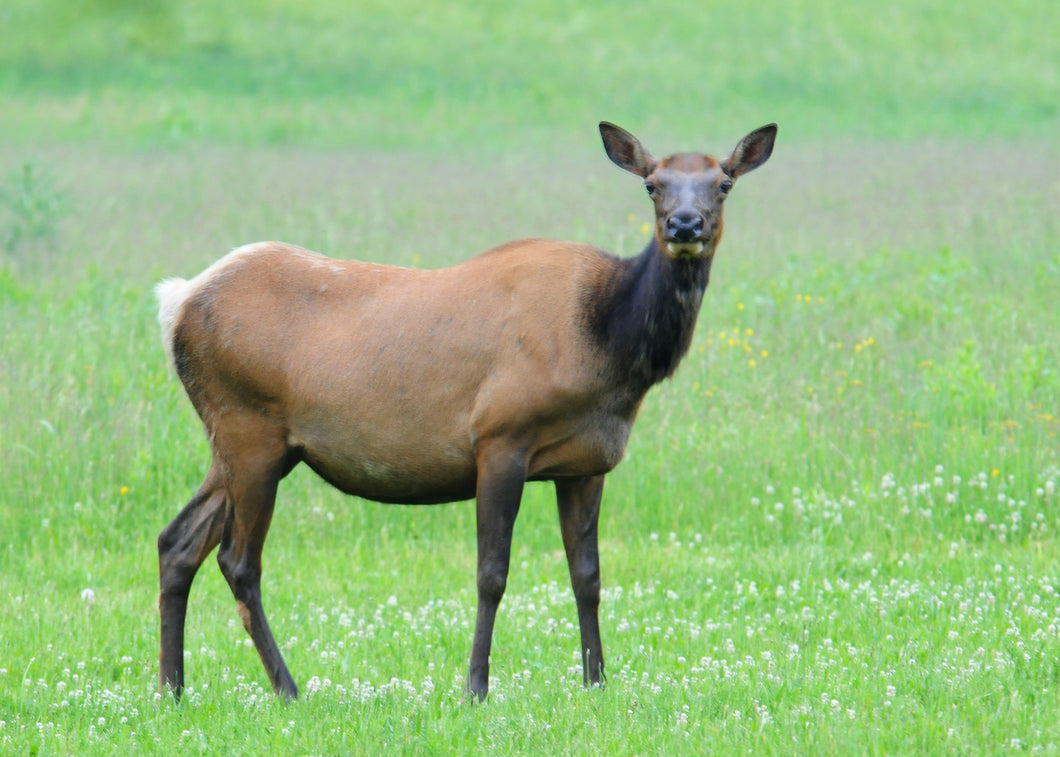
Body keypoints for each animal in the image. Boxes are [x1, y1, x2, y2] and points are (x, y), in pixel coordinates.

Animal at [153, 119, 775, 699]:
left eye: (723, 183)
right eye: (652, 184)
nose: (685, 225)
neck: (608, 344)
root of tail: (176, 302)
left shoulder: (586, 462)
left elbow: (588, 575)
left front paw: (596, 681)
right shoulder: (500, 436)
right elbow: (491, 573)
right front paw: (475, 686)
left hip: (244, 441)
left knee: (177, 541)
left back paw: (171, 688)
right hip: (247, 427)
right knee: (238, 561)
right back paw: (285, 687)